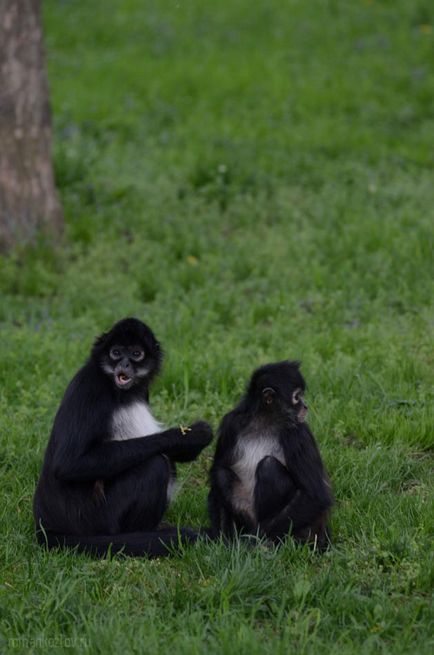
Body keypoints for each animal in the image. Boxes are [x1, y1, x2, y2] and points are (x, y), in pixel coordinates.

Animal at [33, 318, 213, 560]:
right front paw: (184, 437)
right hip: (97, 520)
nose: (125, 364)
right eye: (116, 352)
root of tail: (47, 524)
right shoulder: (90, 387)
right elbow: (67, 464)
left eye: (136, 354)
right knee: (157, 465)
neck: (121, 391)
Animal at [209, 362, 334, 552]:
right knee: (222, 473)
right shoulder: (232, 423)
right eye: (297, 398)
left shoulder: (297, 432)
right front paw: (224, 543)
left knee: (268, 466)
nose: (305, 407)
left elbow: (315, 496)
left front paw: (252, 541)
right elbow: (218, 469)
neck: (265, 422)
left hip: (306, 530)